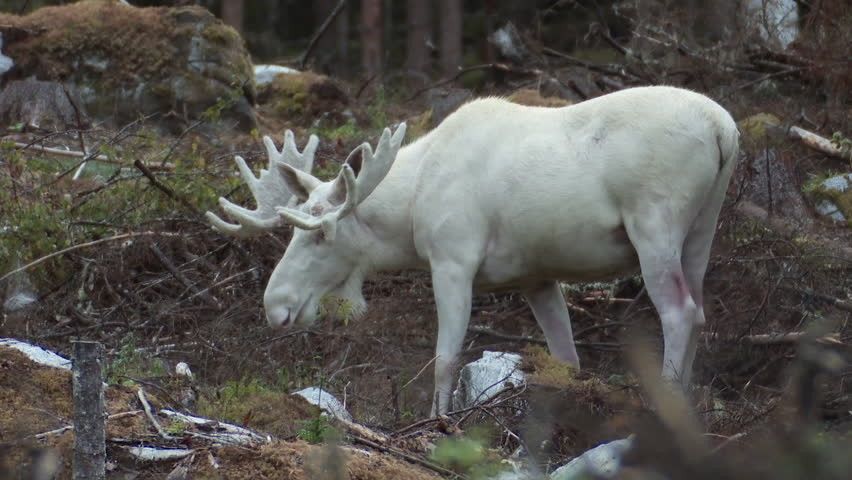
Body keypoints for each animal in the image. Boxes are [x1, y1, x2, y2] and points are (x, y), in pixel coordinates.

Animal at [206, 85, 740, 412]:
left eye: (319, 233)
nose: (275, 305)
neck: (408, 213)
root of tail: (725, 129)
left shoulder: (452, 259)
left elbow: (445, 358)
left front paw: (437, 423)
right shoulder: (536, 276)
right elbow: (565, 358)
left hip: (654, 222)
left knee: (678, 311)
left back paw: (668, 400)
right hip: (701, 230)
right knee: (700, 310)